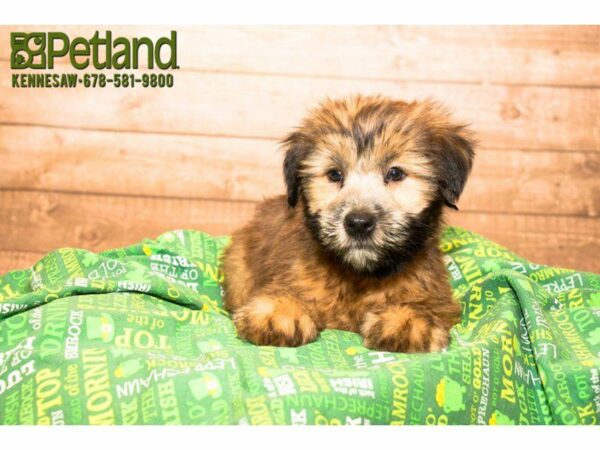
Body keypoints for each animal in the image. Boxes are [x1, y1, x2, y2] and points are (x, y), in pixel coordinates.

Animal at [220, 96, 474, 356]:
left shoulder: (434, 290)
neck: (358, 275)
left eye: (395, 173)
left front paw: (407, 319)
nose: (358, 223)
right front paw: (280, 311)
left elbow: (426, 303)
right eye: (335, 174)